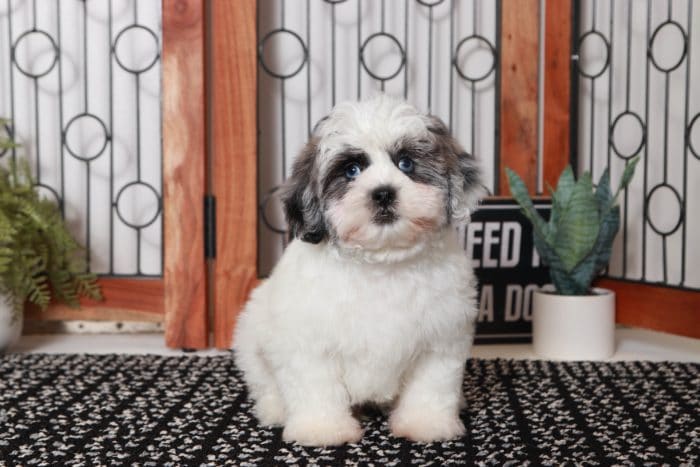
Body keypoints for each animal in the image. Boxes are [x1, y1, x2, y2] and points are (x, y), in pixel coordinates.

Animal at [232, 94, 484, 446]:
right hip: (251, 335)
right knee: (265, 383)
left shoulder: (441, 338)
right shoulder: (307, 341)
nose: (383, 192)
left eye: (406, 163)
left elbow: (431, 385)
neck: (383, 264)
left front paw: (426, 424)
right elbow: (316, 385)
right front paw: (322, 430)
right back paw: (275, 410)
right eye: (351, 170)